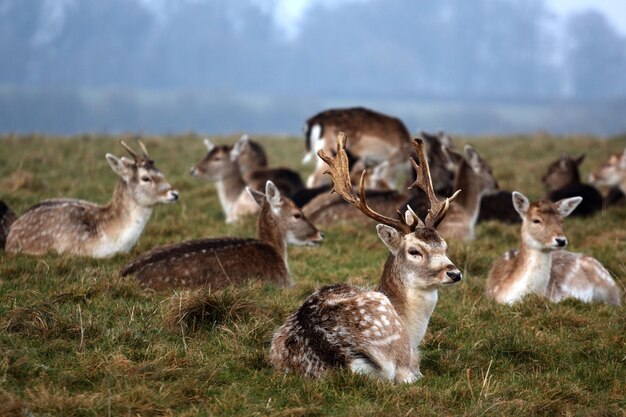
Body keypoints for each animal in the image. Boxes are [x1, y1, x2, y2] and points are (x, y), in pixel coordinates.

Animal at [270, 134, 460, 384]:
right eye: (414, 251)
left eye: (444, 245)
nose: (454, 273)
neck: (411, 324)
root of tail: (338, 355)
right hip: (391, 332)